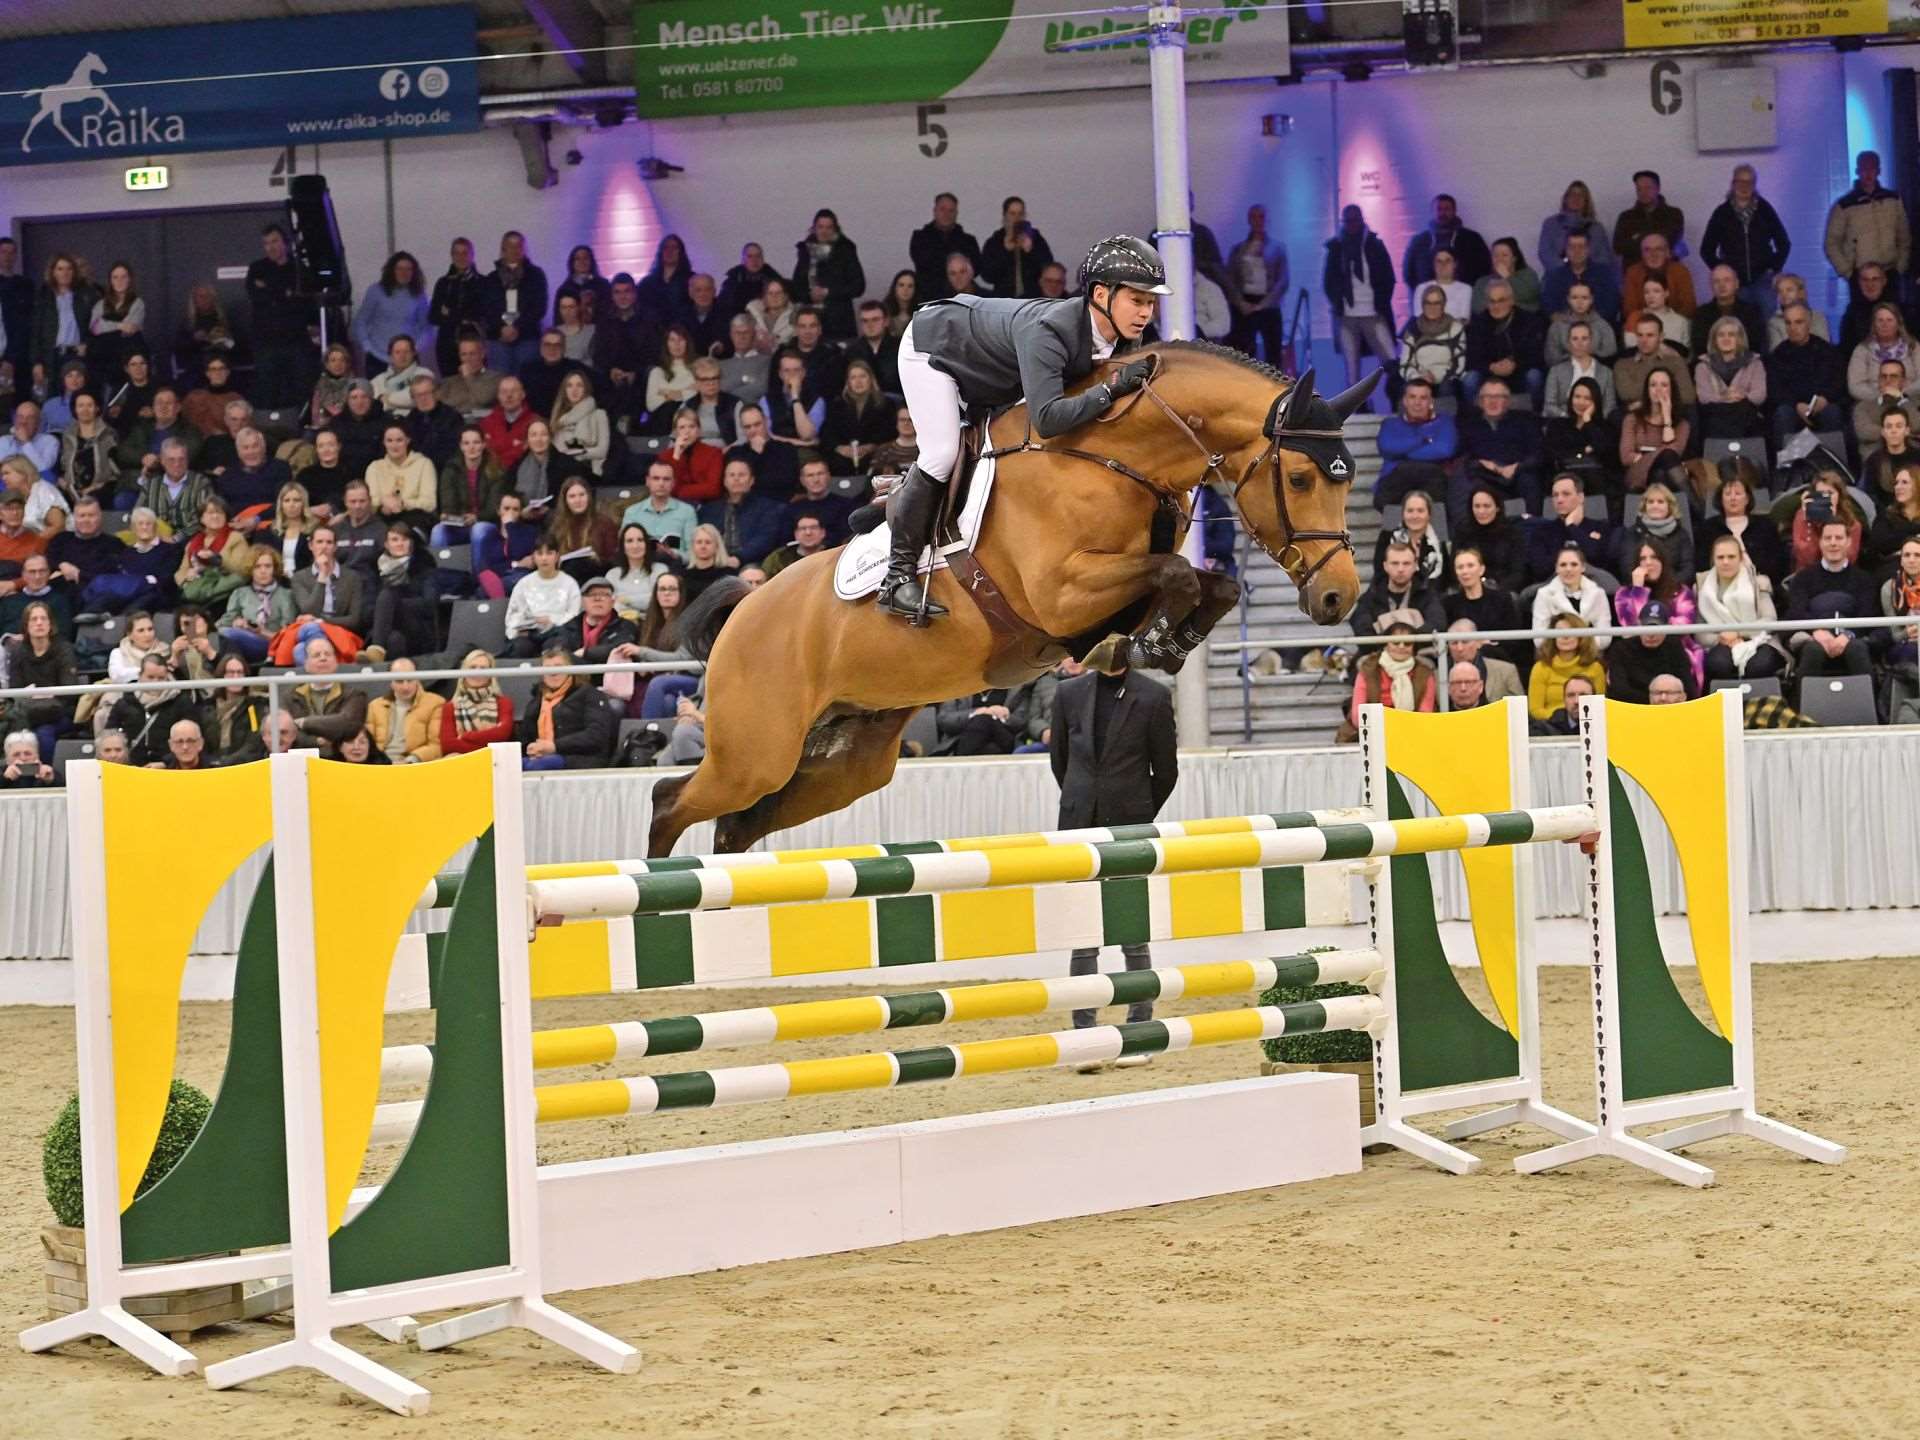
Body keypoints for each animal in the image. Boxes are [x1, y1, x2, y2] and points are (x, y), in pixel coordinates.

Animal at [647, 343, 1376, 856]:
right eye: (1303, 478)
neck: (1111, 455)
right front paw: (1146, 644)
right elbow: (1178, 573)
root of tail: (743, 611)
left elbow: (1205, 582)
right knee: (671, 801)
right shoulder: (1062, 595)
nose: (1338, 597)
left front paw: (1156, 645)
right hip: (756, 752)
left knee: (736, 825)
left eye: (1350, 481)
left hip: (848, 759)